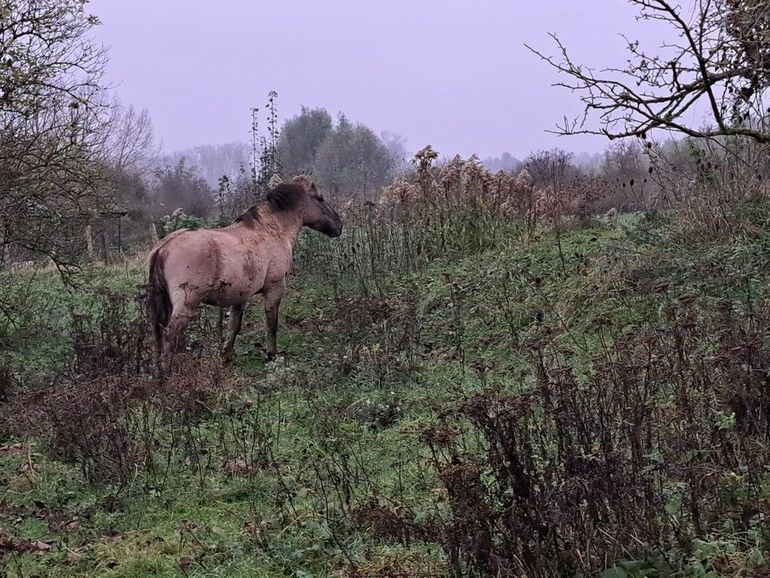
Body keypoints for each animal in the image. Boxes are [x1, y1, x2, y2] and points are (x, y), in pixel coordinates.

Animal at [146, 177, 342, 364]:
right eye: (320, 198)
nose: (339, 225)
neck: (272, 229)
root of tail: (163, 248)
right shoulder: (275, 288)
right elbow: (272, 323)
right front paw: (271, 354)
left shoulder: (239, 296)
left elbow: (234, 325)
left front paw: (226, 355)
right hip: (185, 306)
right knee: (170, 337)